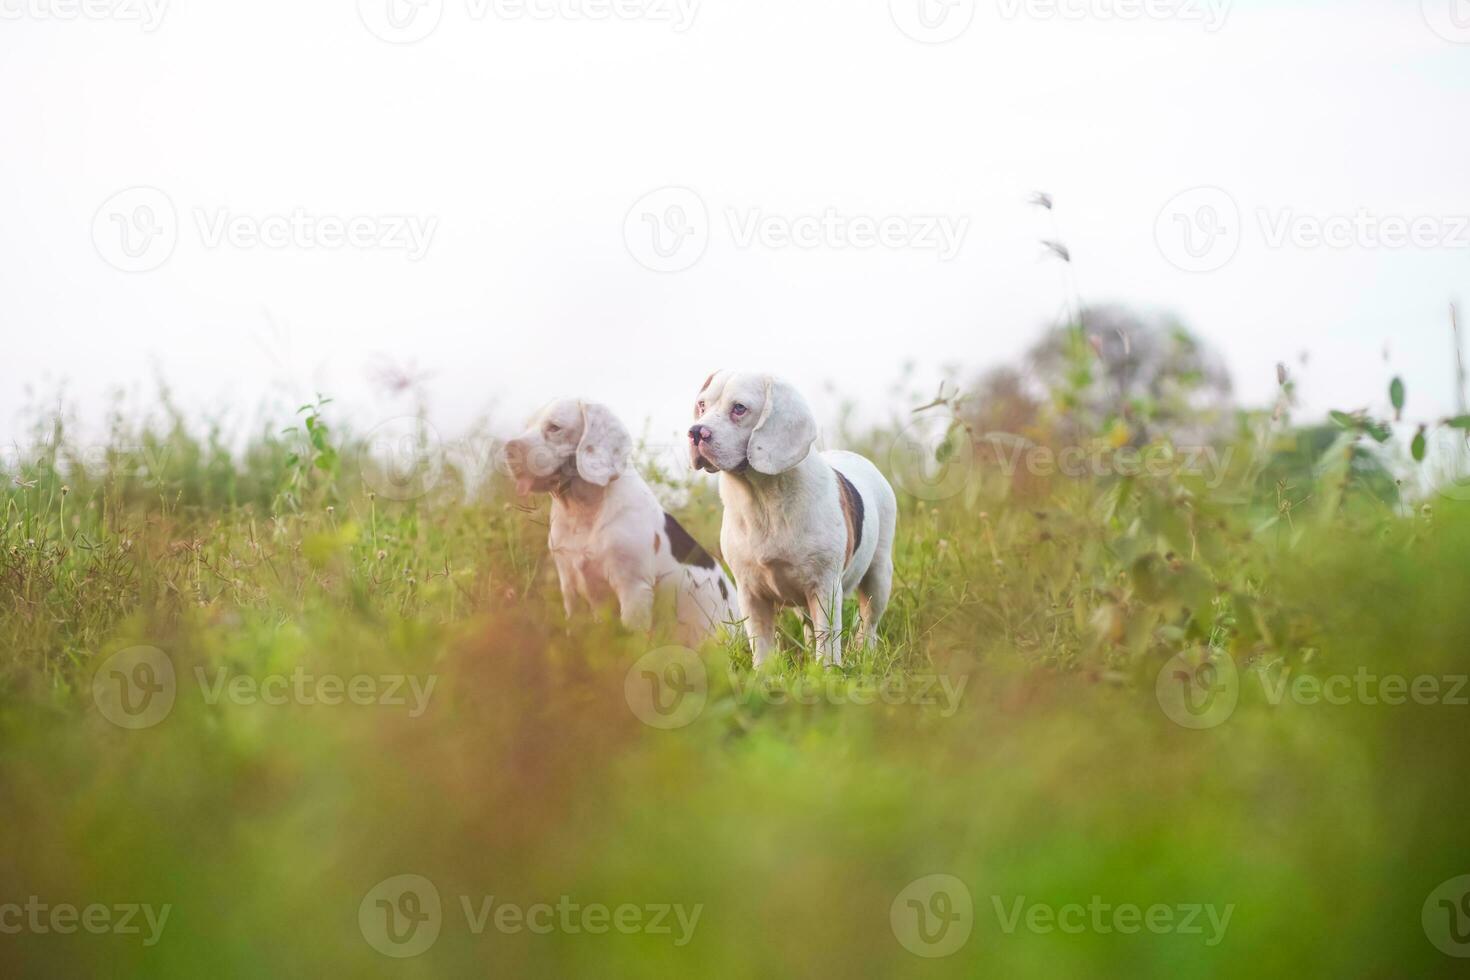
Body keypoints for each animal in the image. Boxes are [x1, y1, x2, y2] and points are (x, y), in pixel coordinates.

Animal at [505, 399, 740, 652]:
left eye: (554, 427)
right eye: (528, 426)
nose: (509, 449)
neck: (581, 511)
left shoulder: (633, 589)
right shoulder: (569, 587)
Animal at [685, 371, 893, 669]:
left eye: (739, 408)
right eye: (702, 405)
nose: (696, 432)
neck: (763, 502)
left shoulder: (825, 589)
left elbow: (828, 643)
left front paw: (827, 673)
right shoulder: (751, 594)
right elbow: (761, 646)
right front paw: (763, 675)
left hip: (878, 576)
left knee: (869, 624)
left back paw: (865, 652)